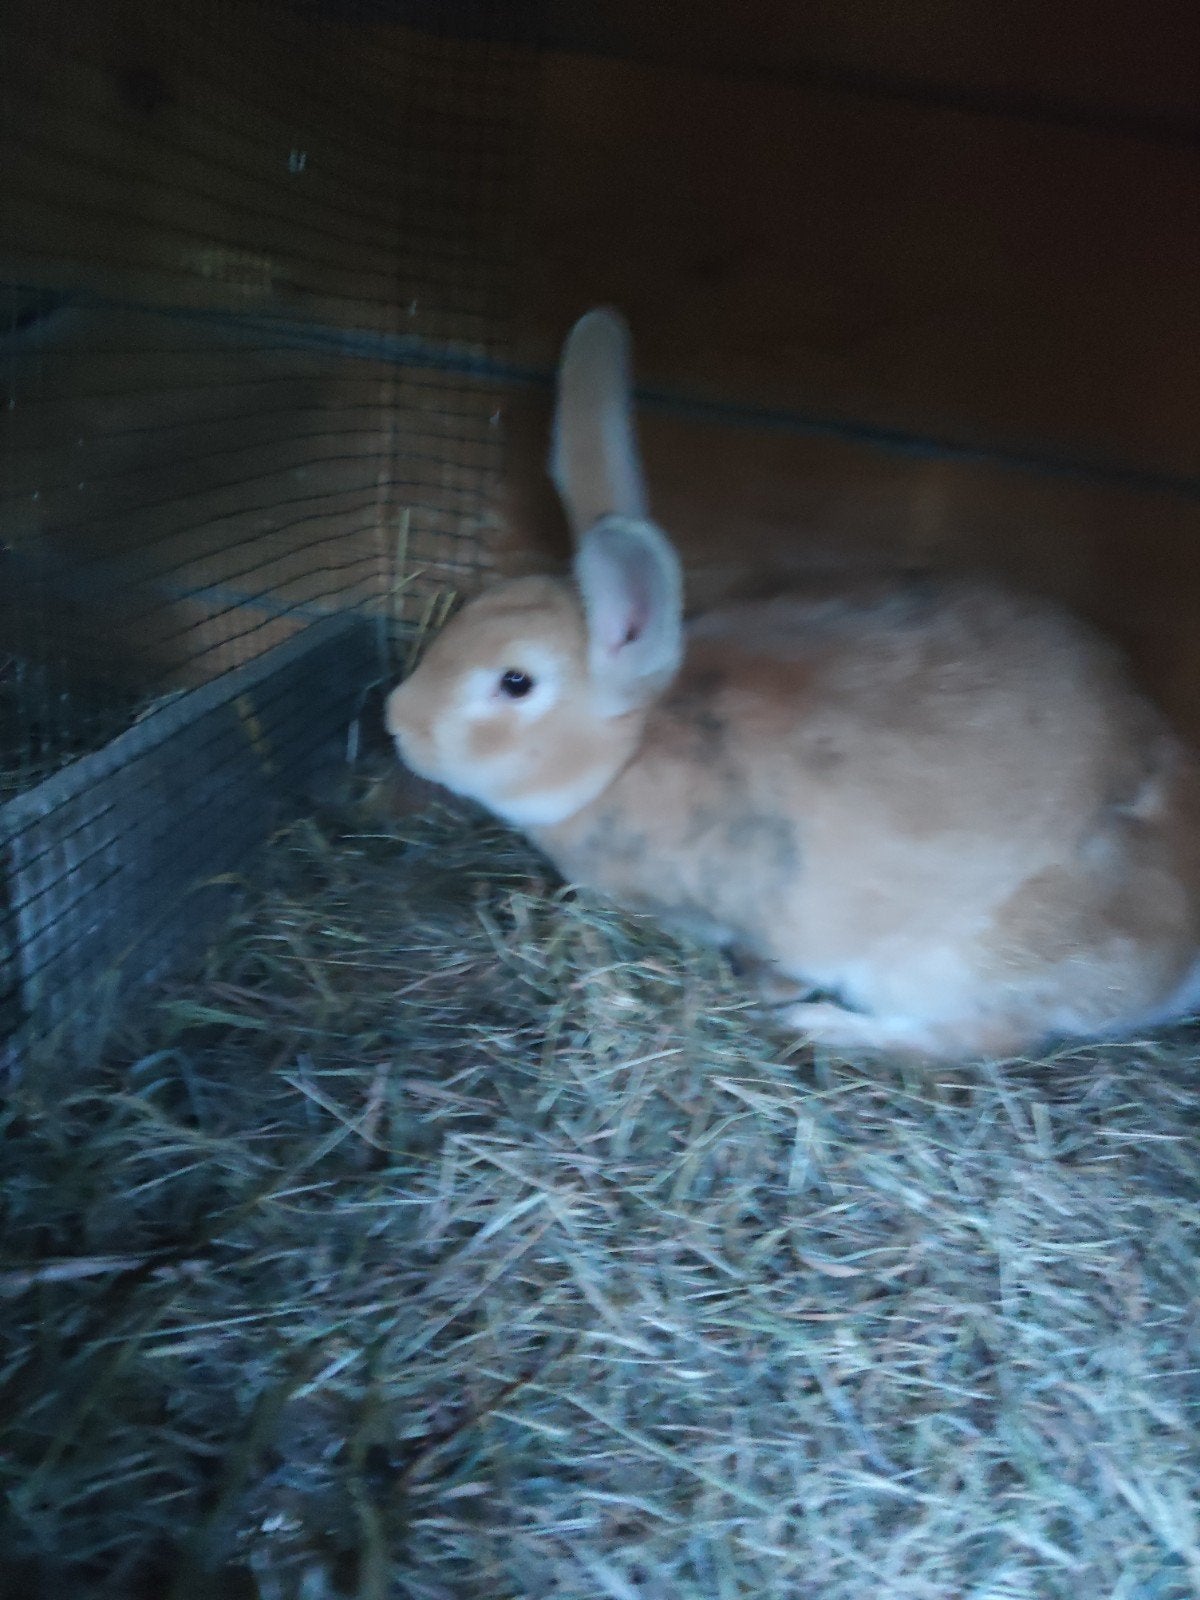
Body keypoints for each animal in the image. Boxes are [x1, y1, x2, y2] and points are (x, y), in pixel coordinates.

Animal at [384, 308, 1200, 1061]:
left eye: (515, 682)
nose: (397, 721)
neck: (631, 752)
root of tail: (1176, 963)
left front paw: (771, 991)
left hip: (955, 962)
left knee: (985, 1036)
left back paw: (826, 1028)